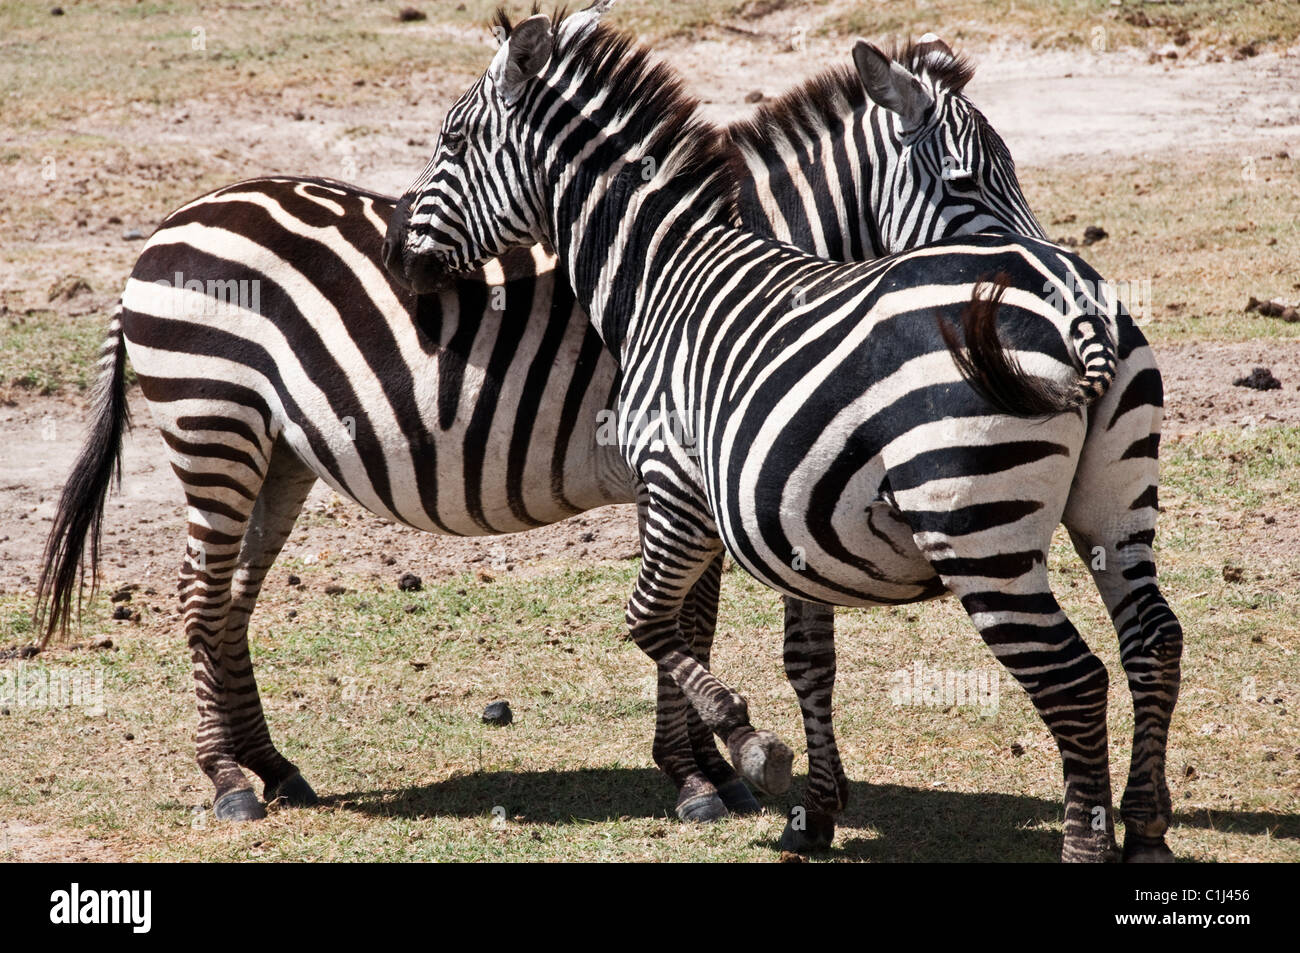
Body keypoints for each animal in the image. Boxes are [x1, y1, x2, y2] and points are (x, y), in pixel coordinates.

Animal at [379, 0, 1185, 863]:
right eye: (973, 180)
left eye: (452, 138)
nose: (397, 254)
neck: (665, 273)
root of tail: (1074, 308)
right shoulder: (796, 521)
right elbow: (806, 658)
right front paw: (814, 810)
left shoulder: (674, 485)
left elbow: (650, 619)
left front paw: (748, 750)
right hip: (1113, 504)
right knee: (1152, 640)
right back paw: (1146, 828)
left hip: (977, 530)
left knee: (1075, 679)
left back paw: (1087, 841)